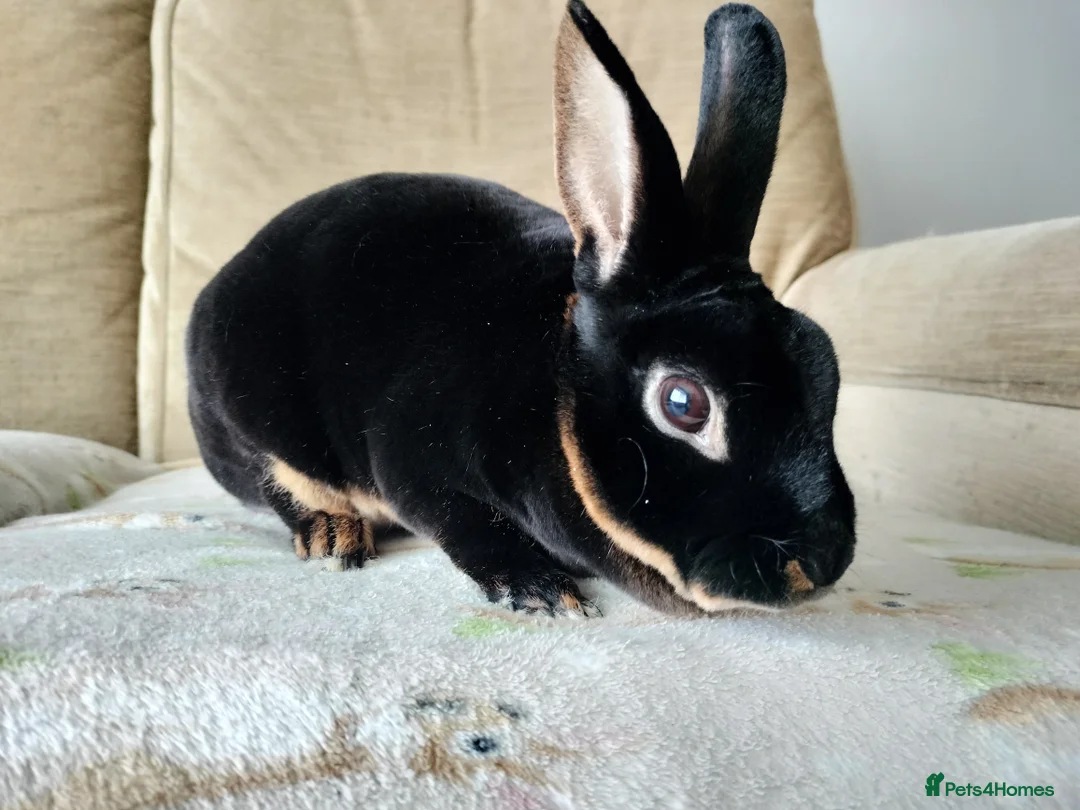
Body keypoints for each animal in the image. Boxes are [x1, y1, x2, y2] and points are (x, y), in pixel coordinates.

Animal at [186, 0, 856, 618]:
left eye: (828, 368)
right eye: (683, 404)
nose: (820, 565)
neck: (554, 394)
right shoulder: (414, 464)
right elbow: (465, 526)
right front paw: (543, 592)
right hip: (255, 418)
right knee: (281, 481)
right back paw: (333, 537)